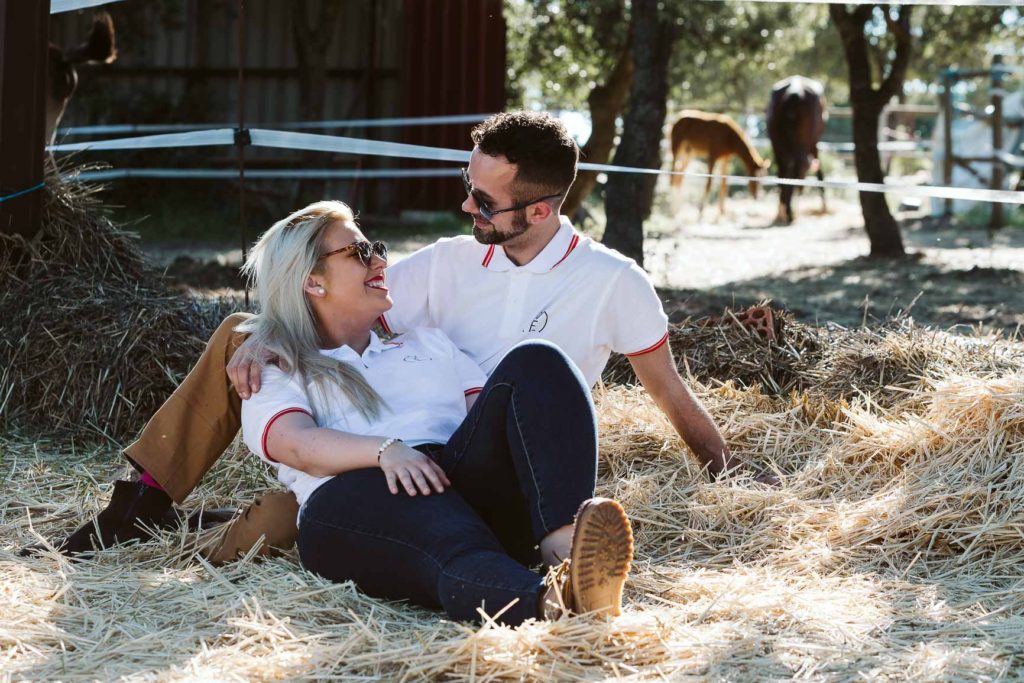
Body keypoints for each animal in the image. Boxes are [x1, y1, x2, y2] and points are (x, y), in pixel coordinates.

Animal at [765, 74, 827, 224]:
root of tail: (794, 92)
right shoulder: (814, 143)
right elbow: (819, 172)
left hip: (777, 142)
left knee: (783, 170)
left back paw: (784, 211)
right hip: (804, 142)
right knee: (796, 166)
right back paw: (790, 211)